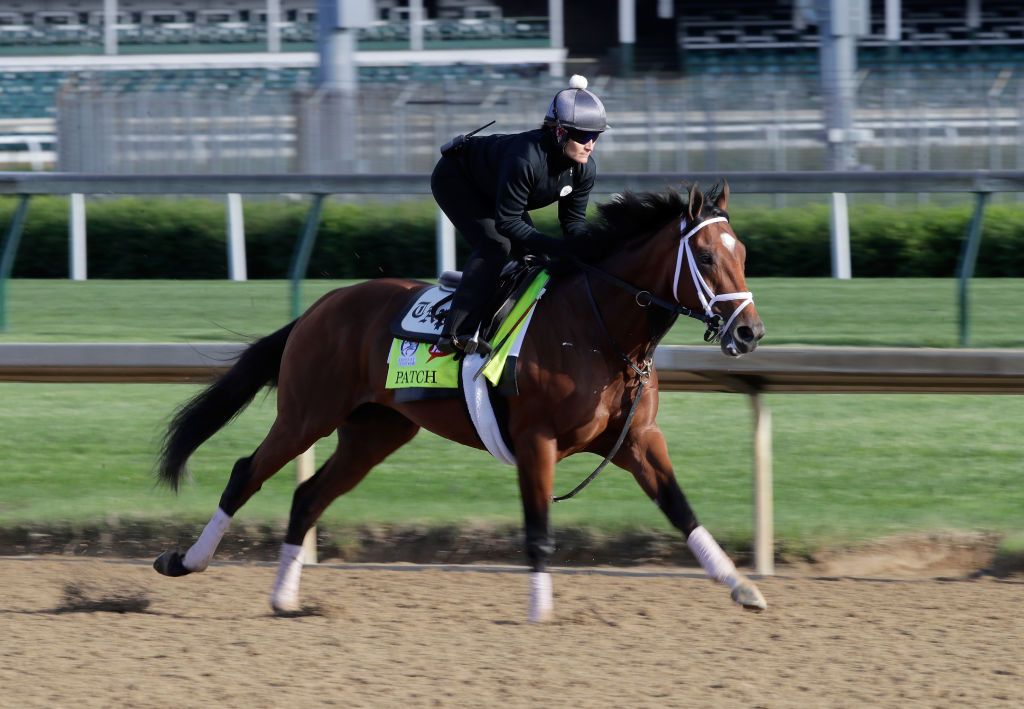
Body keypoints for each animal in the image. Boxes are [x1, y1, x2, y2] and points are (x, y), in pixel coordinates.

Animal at [153, 182, 770, 618]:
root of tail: (319, 307)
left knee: (308, 496)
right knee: (246, 473)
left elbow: (680, 508)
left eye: (743, 253)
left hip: (375, 431)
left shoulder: (637, 441)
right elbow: (538, 528)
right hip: (306, 413)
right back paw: (186, 561)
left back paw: (284, 598)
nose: (749, 333)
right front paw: (540, 611)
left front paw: (741, 585)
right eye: (707, 258)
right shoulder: (536, 441)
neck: (599, 332)